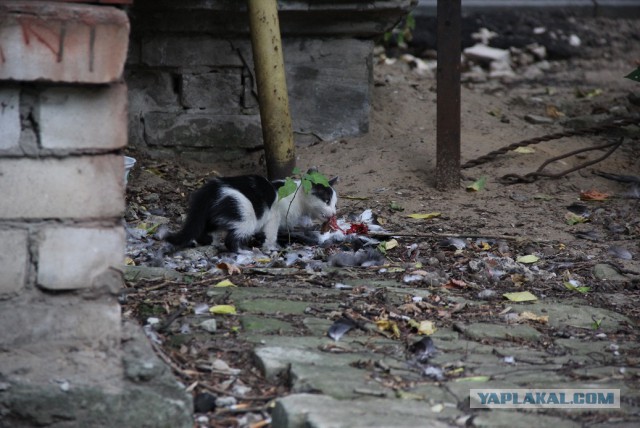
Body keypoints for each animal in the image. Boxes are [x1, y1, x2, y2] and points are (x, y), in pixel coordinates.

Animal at [165, 171, 338, 251]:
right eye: (327, 201)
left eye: (335, 203)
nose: (334, 213)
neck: (296, 199)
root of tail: (212, 187)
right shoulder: (274, 216)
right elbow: (271, 233)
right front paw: (270, 247)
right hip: (245, 215)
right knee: (231, 239)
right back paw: (242, 251)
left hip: (211, 215)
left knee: (202, 231)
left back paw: (212, 243)